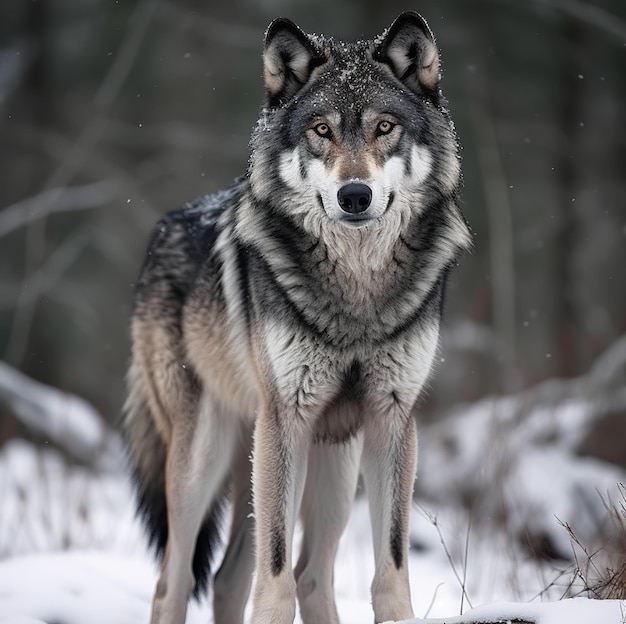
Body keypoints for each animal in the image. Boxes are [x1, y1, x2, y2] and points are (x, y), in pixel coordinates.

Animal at [120, 12, 468, 624]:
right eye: (321, 130)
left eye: (384, 127)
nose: (355, 195)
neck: (357, 291)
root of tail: (163, 226)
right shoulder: (287, 417)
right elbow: (274, 568)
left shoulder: (392, 419)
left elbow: (390, 565)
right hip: (208, 456)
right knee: (176, 581)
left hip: (331, 463)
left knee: (286, 576)